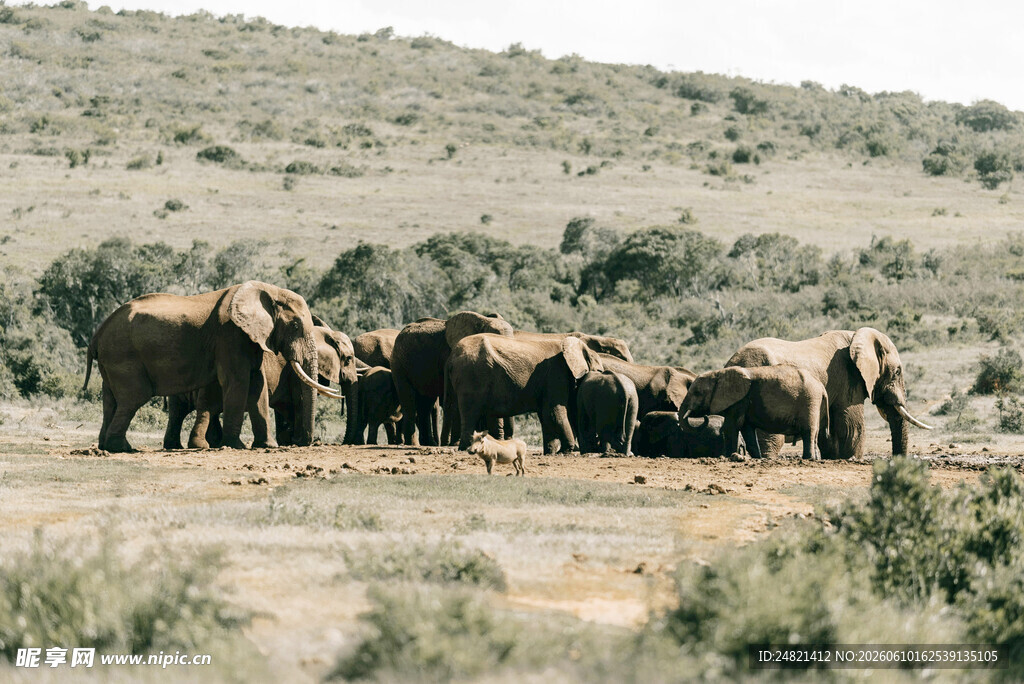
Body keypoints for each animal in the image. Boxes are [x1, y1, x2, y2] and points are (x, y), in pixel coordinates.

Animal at [83, 281, 339, 452]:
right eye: (295, 326)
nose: (303, 442)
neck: (266, 291)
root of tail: (97, 335)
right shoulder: (230, 335)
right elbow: (238, 382)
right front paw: (236, 445)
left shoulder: (248, 338)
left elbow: (257, 384)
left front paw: (267, 446)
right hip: (124, 356)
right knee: (133, 399)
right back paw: (122, 448)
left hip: (111, 361)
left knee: (111, 400)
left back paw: (105, 446)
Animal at [391, 312, 514, 446]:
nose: (508, 439)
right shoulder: (449, 355)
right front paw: (455, 443)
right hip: (398, 364)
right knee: (409, 402)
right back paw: (414, 444)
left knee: (426, 403)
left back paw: (430, 443)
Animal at [447, 333, 605, 454]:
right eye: (598, 371)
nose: (593, 448)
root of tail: (452, 357)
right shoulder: (556, 373)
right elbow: (554, 411)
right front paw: (568, 451)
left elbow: (545, 414)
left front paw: (550, 452)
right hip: (472, 376)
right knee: (470, 412)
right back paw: (466, 449)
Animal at [679, 365, 829, 461]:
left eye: (697, 393)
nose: (705, 417)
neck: (718, 374)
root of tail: (822, 387)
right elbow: (747, 429)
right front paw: (757, 458)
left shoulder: (739, 401)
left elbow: (731, 427)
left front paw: (728, 457)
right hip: (814, 402)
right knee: (814, 434)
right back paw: (815, 459)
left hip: (810, 400)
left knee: (808, 431)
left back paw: (807, 459)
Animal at [727, 328, 932, 459]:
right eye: (897, 372)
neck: (856, 335)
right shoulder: (848, 379)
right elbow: (851, 428)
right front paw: (851, 459)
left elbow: (830, 431)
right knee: (771, 440)